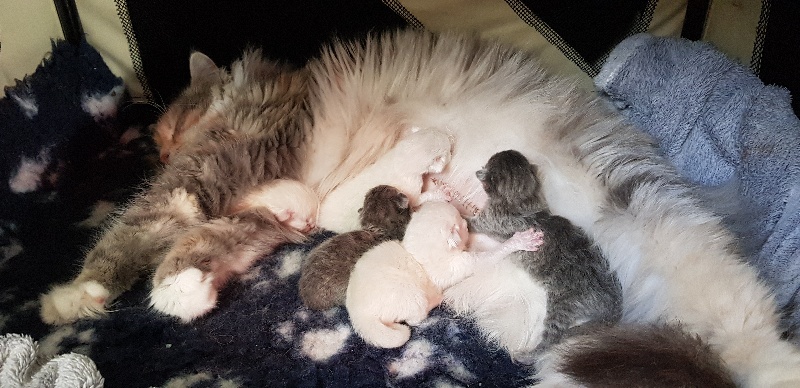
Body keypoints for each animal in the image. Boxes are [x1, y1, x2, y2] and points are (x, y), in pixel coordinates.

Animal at [40, 50, 314, 324]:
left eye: (173, 130)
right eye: (159, 145)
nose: (164, 157)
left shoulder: (190, 183)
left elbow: (125, 237)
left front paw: (77, 291)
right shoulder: (252, 212)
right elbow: (212, 236)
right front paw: (184, 290)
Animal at [346, 200, 544, 348]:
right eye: (462, 224)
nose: (467, 222)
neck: (416, 253)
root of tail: (358, 317)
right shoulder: (461, 265)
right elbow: (489, 256)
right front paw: (520, 241)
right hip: (412, 298)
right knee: (415, 319)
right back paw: (436, 300)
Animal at [454, 150, 620, 362]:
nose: (478, 171)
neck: (523, 201)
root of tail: (615, 305)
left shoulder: (487, 221)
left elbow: (466, 219)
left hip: (563, 306)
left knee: (553, 339)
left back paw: (526, 355)